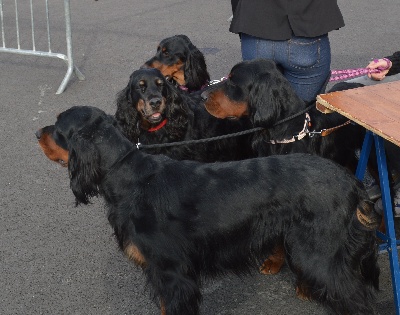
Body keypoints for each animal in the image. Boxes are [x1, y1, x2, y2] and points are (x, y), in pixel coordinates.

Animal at [36, 107, 382, 315]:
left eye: (59, 128)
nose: (36, 133)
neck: (129, 176)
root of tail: (352, 183)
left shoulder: (173, 272)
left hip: (321, 254)